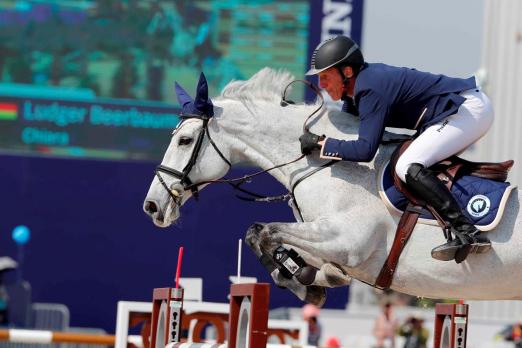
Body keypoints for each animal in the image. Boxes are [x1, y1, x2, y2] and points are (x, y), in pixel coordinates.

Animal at [142, 68, 520, 304]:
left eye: (185, 140)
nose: (152, 206)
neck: (323, 165)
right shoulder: (325, 237)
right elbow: (260, 235)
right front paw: (309, 276)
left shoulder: (346, 241)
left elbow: (265, 231)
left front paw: (310, 282)